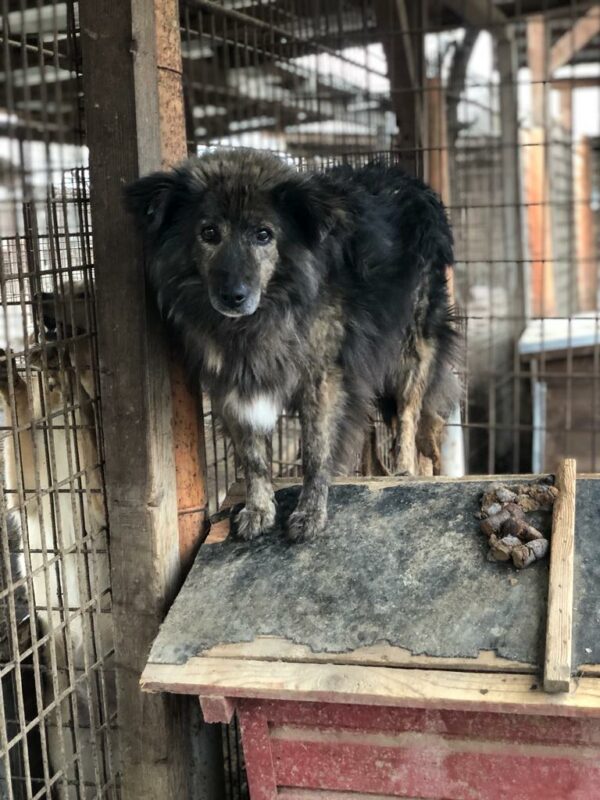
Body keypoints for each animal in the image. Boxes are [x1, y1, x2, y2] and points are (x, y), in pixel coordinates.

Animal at [124, 147, 458, 540]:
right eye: (209, 233)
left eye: (263, 235)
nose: (233, 296)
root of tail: (412, 183)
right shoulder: (231, 383)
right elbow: (253, 456)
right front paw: (258, 510)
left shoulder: (323, 380)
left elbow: (316, 450)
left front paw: (310, 512)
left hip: (411, 349)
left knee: (408, 412)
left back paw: (404, 469)